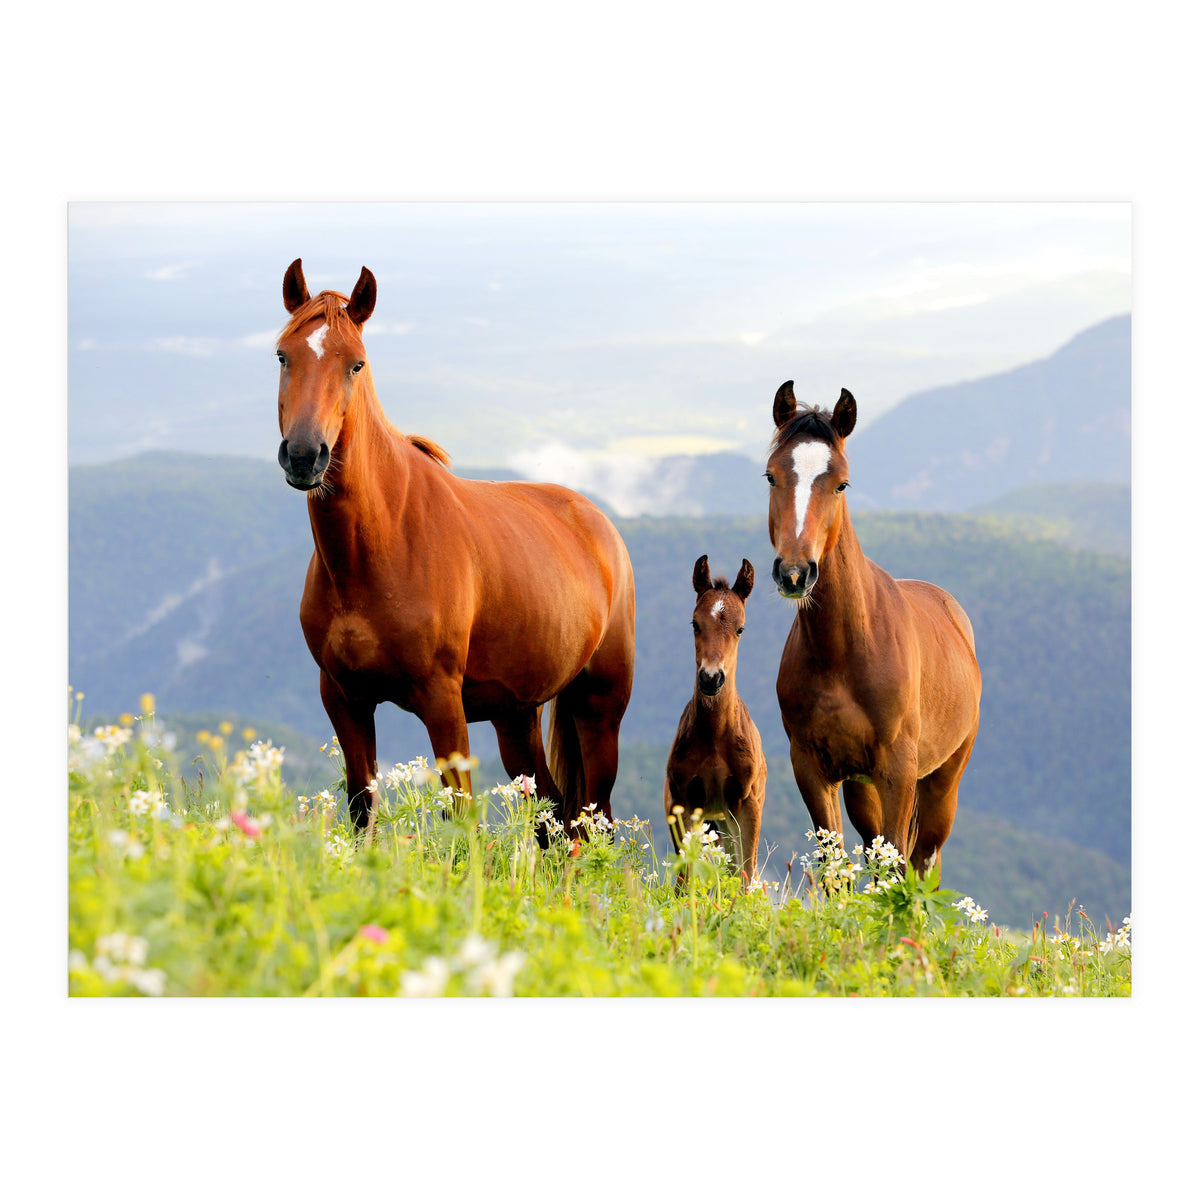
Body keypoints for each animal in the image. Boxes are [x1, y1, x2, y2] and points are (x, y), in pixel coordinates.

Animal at [274, 259, 637, 834]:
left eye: (355, 365)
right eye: (283, 355)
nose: (306, 455)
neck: (378, 548)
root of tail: (600, 524)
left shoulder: (442, 700)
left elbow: (462, 817)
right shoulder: (344, 698)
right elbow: (361, 809)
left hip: (599, 707)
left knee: (592, 819)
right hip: (516, 716)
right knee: (553, 815)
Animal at [664, 555, 767, 882]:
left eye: (740, 629)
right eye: (695, 624)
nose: (711, 678)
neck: (715, 737)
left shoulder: (747, 804)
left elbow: (745, 875)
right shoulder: (683, 802)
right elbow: (685, 877)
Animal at [765, 382, 981, 876]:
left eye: (841, 483)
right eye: (771, 476)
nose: (794, 573)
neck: (843, 651)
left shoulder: (897, 770)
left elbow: (900, 864)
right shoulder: (813, 769)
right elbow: (834, 866)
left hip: (943, 780)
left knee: (924, 860)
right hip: (861, 787)